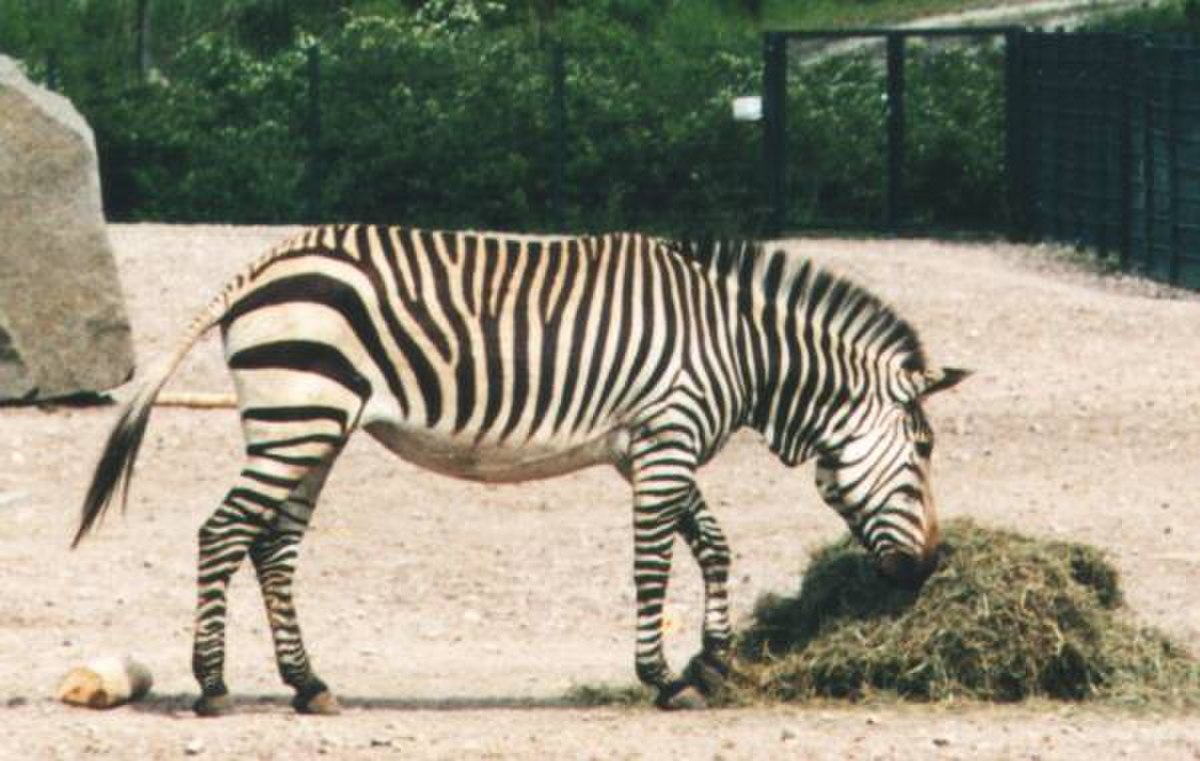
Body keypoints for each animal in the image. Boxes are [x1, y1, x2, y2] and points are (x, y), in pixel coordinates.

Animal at [73, 226, 967, 715]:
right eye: (924, 448)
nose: (929, 566)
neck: (742, 349)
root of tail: (262, 265)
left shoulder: (647, 448)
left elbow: (712, 545)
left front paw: (712, 660)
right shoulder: (667, 437)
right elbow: (653, 564)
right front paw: (662, 677)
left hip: (313, 428)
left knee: (273, 546)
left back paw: (307, 682)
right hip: (300, 416)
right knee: (223, 532)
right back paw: (214, 686)